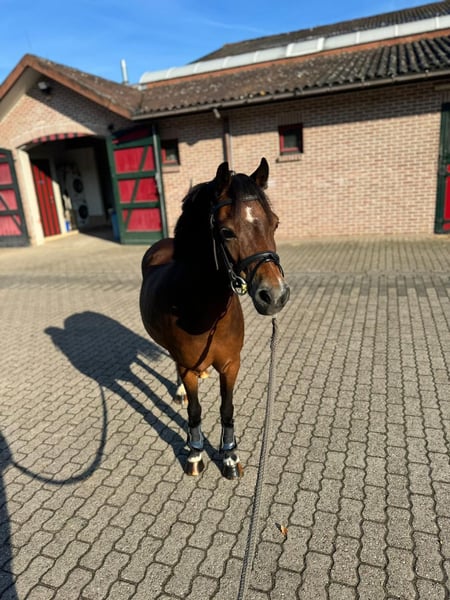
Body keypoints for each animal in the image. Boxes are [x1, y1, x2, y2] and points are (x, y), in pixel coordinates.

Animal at [139, 158, 290, 478]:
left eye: (275, 223)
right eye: (226, 231)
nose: (275, 295)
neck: (204, 311)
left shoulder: (231, 365)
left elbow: (227, 410)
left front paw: (230, 456)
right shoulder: (187, 366)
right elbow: (195, 412)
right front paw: (195, 454)